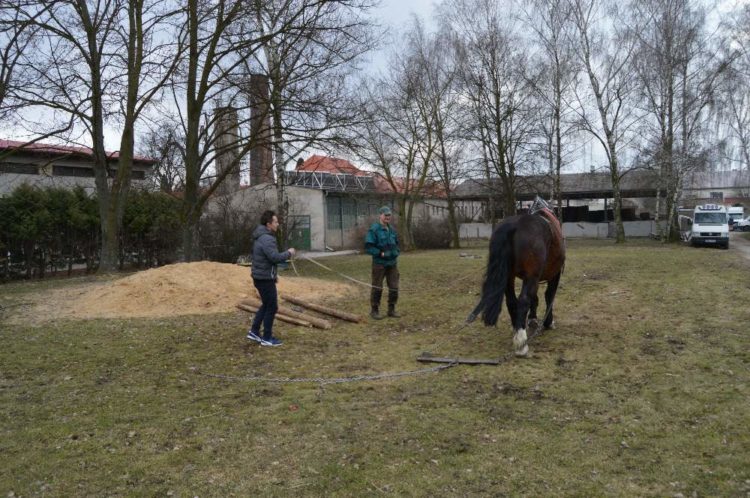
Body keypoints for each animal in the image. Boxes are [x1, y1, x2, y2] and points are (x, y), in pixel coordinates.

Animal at [468, 196, 568, 356]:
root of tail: (514, 225)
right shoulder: (553, 274)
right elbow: (549, 297)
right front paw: (548, 322)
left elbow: (535, 298)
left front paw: (532, 319)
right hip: (531, 276)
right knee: (523, 301)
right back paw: (521, 342)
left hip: (509, 277)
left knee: (511, 301)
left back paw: (516, 327)